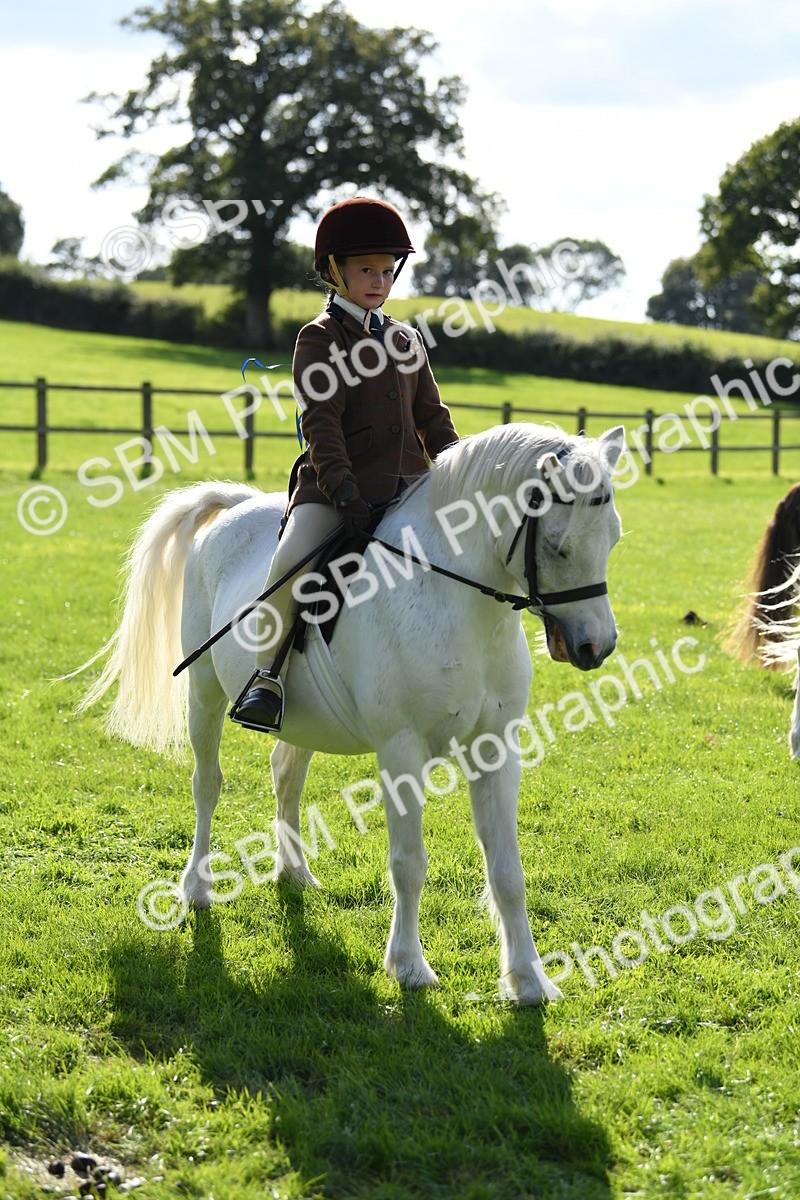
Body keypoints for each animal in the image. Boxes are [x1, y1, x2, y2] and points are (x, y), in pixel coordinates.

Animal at [78, 421, 626, 1004]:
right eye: (558, 548)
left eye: (613, 537)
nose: (597, 646)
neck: (454, 598)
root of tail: (237, 506)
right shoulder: (402, 750)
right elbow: (409, 863)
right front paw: (409, 966)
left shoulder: (496, 748)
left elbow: (507, 869)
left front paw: (528, 980)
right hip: (203, 690)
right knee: (208, 784)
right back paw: (197, 887)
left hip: (301, 716)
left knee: (285, 774)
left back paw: (294, 872)